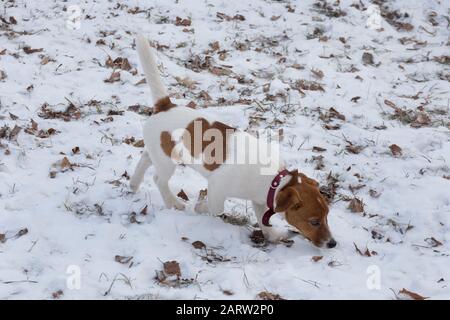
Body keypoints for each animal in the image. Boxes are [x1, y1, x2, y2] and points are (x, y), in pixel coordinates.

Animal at [128, 35, 336, 249]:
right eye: (314, 221)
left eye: (327, 217)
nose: (332, 244)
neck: (274, 181)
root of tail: (165, 105)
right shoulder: (217, 186)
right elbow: (216, 208)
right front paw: (200, 207)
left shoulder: (259, 201)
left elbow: (263, 220)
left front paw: (272, 235)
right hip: (167, 161)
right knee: (159, 179)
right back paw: (173, 203)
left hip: (159, 152)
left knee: (145, 159)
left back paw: (134, 184)